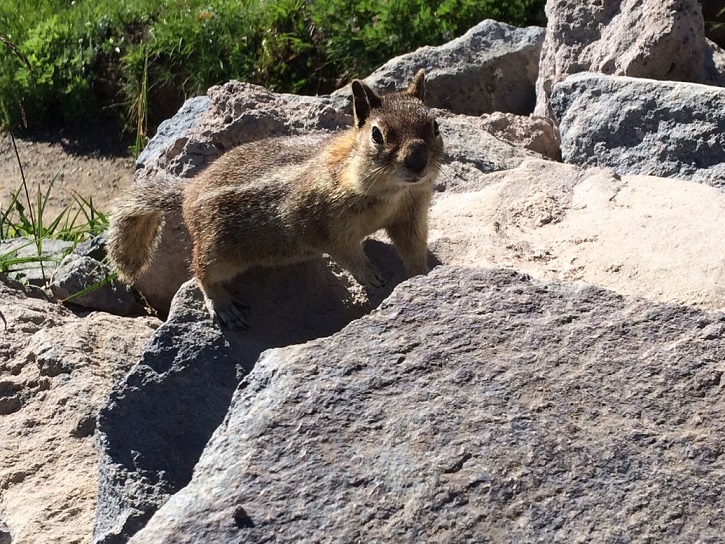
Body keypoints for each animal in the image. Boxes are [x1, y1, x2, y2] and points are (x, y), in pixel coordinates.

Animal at [109, 70, 442, 330]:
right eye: (377, 135)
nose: (417, 161)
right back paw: (223, 306)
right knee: (201, 269)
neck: (391, 193)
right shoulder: (327, 224)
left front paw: (422, 276)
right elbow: (346, 253)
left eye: (435, 125)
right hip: (220, 251)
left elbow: (413, 247)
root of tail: (188, 191)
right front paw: (371, 275)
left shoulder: (410, 214)